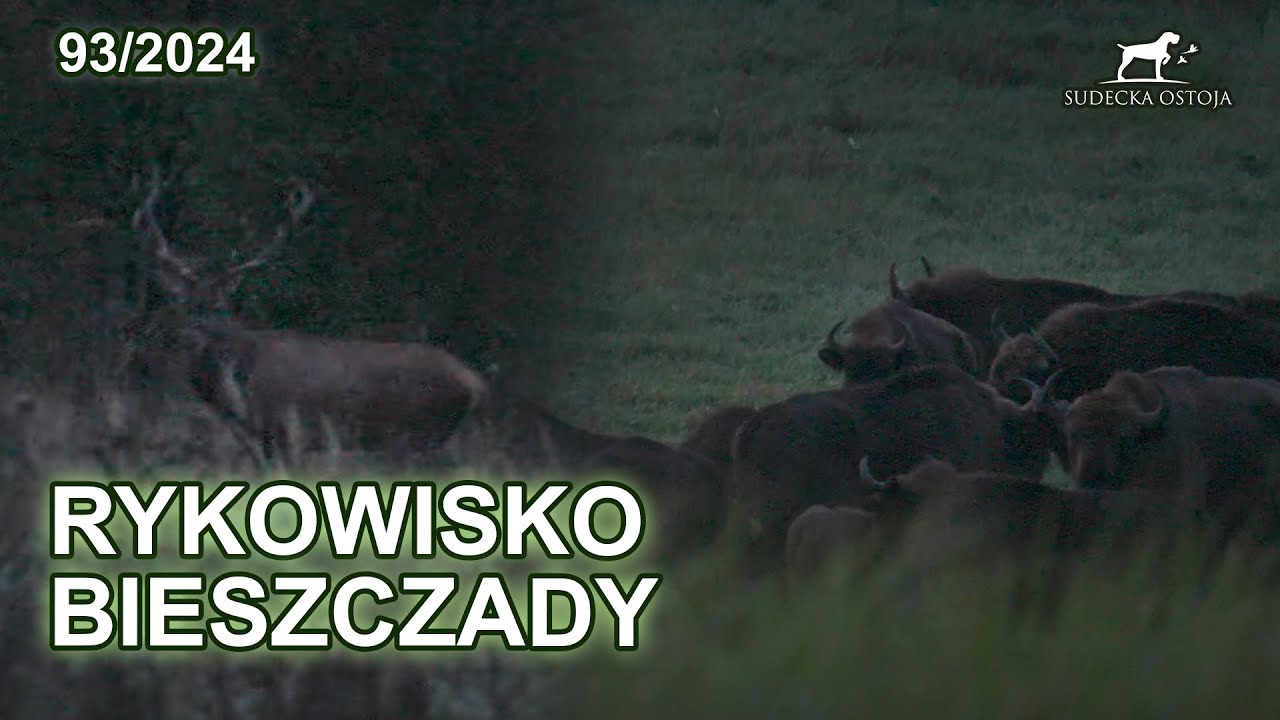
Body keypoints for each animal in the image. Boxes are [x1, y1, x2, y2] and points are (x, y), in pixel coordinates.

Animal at [127, 164, 490, 473]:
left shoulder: (287, 427)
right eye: (182, 304)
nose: (190, 336)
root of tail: (476, 384)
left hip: (420, 434)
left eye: (219, 306)